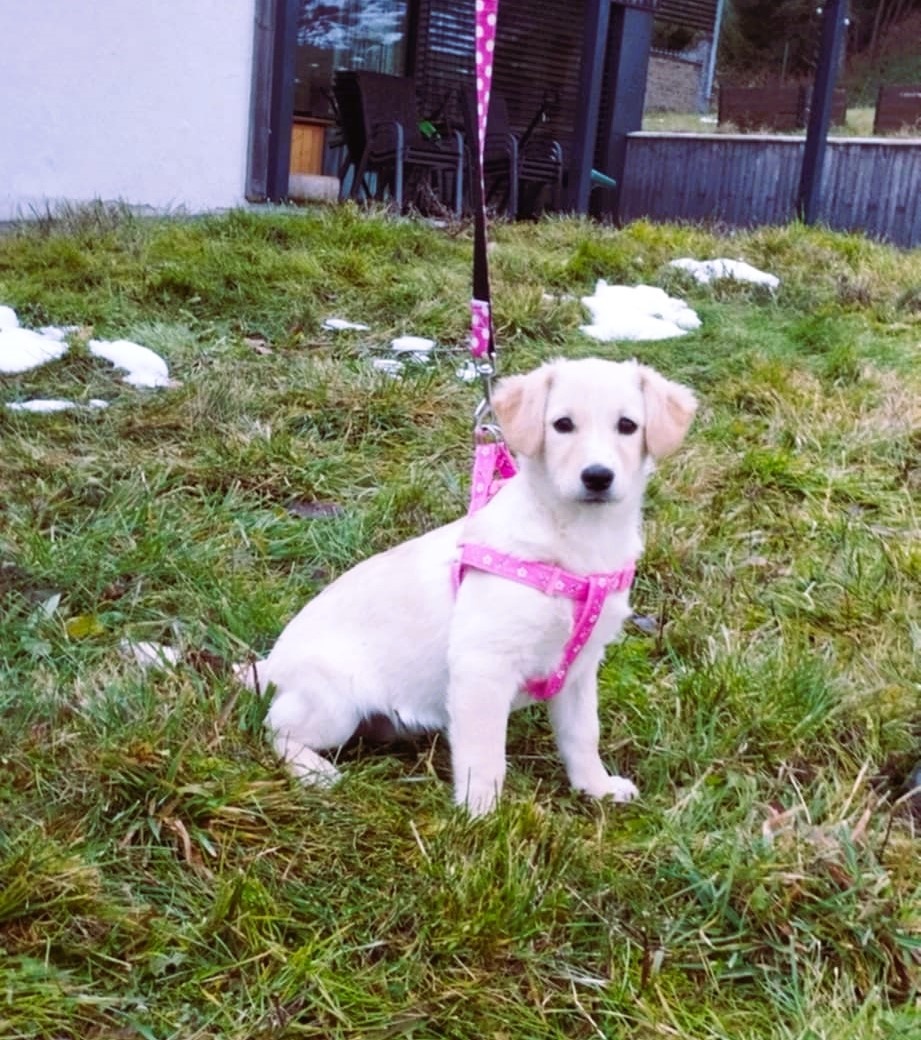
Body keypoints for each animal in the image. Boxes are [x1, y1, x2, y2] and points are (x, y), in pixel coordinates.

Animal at [248, 357, 694, 811]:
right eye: (563, 425)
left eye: (627, 425)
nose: (598, 477)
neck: (578, 539)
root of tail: (269, 667)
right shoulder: (483, 665)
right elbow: (484, 756)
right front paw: (480, 815)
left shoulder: (579, 670)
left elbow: (583, 734)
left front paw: (596, 788)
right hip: (333, 702)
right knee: (274, 729)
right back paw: (314, 772)